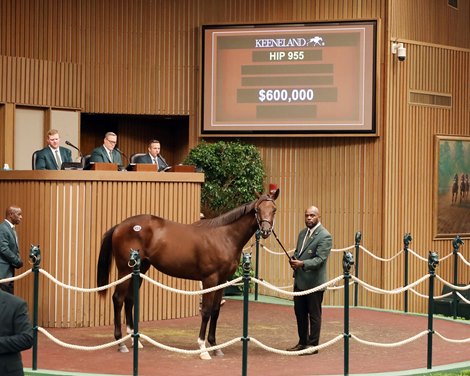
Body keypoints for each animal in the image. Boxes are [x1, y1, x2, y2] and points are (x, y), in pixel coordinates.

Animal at [96, 189, 280, 360]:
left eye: (274, 209)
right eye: (257, 209)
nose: (265, 231)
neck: (224, 237)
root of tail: (120, 226)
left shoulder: (222, 281)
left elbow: (215, 311)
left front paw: (215, 346)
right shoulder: (209, 280)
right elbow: (206, 311)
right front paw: (203, 349)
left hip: (140, 270)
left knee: (129, 299)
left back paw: (135, 340)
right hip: (125, 270)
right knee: (118, 299)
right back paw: (120, 343)